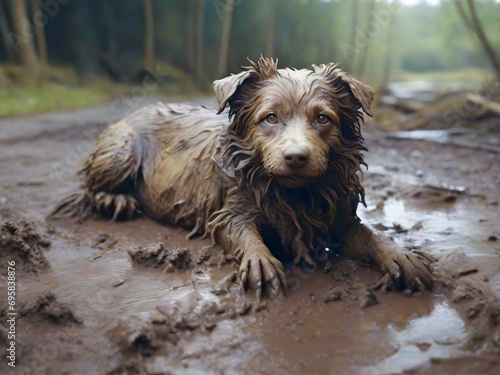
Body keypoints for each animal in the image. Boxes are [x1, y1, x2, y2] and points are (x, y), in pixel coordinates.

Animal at [52, 57, 432, 302]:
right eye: (270, 118)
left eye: (323, 118)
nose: (296, 157)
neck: (294, 194)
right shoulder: (229, 211)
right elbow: (244, 233)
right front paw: (260, 260)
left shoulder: (339, 217)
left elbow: (371, 235)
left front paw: (402, 255)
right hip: (122, 151)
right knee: (88, 187)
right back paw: (114, 199)